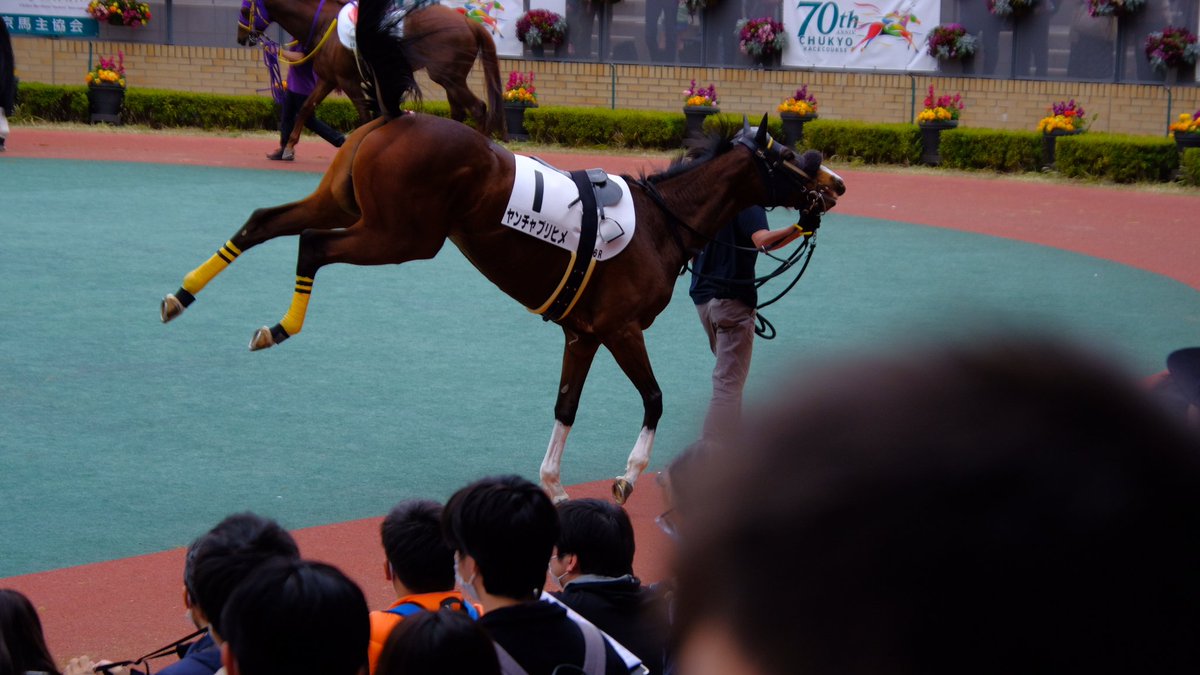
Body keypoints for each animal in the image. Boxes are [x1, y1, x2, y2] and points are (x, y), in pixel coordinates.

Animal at [238, 0, 506, 148]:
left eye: (243, 8)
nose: (241, 38)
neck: (326, 23)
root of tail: (469, 23)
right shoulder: (328, 78)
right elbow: (305, 107)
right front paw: (289, 146)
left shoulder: (349, 82)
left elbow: (367, 119)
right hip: (451, 80)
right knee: (459, 112)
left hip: (449, 77)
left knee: (478, 108)